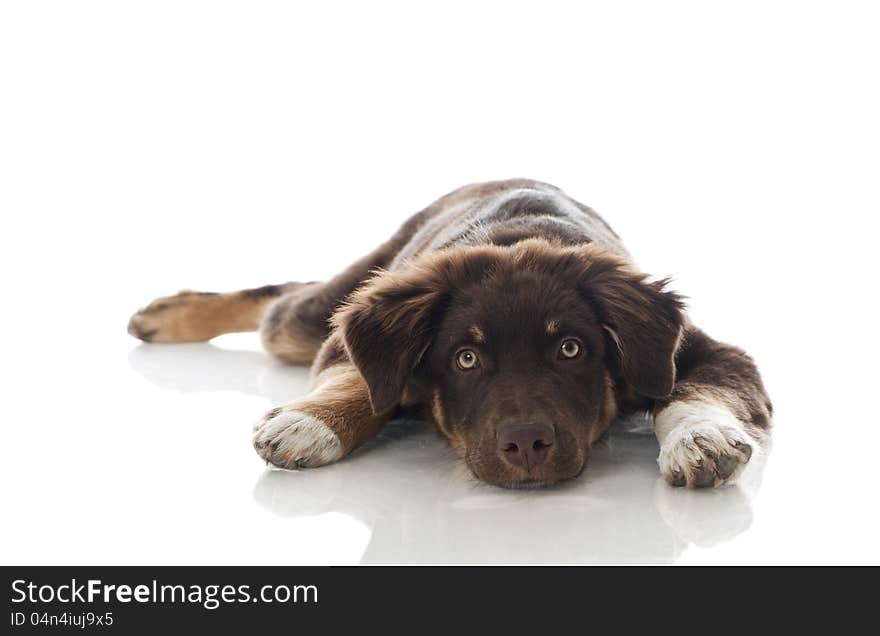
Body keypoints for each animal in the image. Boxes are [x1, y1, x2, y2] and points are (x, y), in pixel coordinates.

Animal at [129, 181, 768, 490]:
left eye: (571, 349)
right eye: (465, 358)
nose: (527, 446)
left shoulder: (696, 351)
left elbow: (693, 392)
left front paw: (701, 440)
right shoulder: (357, 343)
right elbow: (358, 382)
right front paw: (309, 424)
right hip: (316, 313)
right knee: (284, 301)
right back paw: (163, 316)